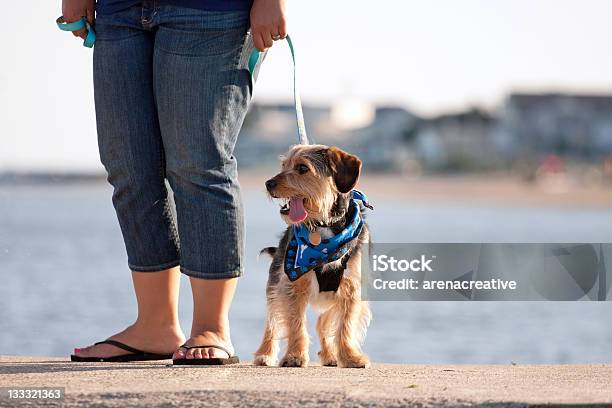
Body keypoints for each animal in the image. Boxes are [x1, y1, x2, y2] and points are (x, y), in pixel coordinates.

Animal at [253, 145, 372, 368]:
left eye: (302, 168)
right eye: (284, 165)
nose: (268, 183)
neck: (322, 226)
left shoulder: (352, 289)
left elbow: (346, 325)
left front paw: (350, 356)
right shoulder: (292, 285)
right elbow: (296, 323)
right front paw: (294, 356)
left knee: (322, 323)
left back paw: (330, 355)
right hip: (275, 285)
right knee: (272, 322)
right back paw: (264, 354)